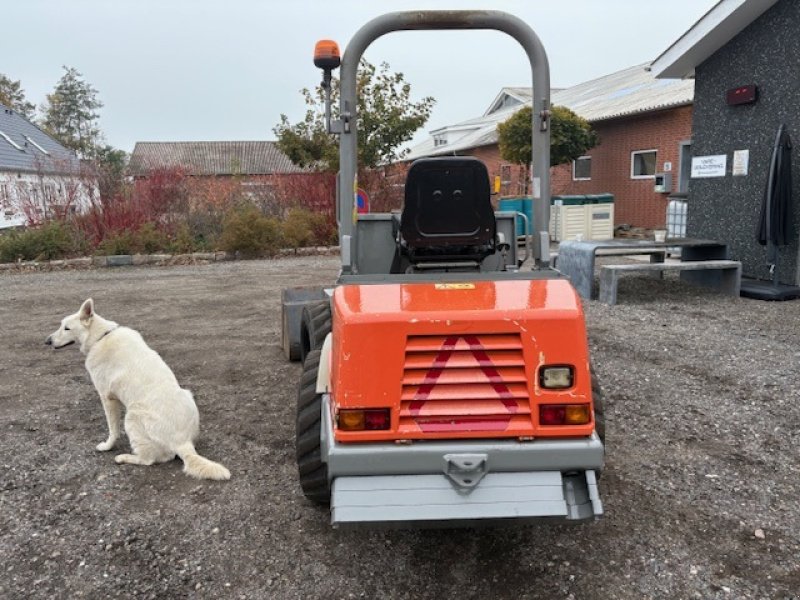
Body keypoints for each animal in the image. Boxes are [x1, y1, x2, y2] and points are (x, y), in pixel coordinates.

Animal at [46, 300, 230, 482]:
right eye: (61, 325)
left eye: (66, 328)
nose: (47, 341)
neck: (100, 336)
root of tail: (183, 442)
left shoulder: (107, 398)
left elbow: (113, 430)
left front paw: (107, 446)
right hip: (186, 395)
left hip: (132, 415)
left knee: (149, 460)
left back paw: (123, 457)